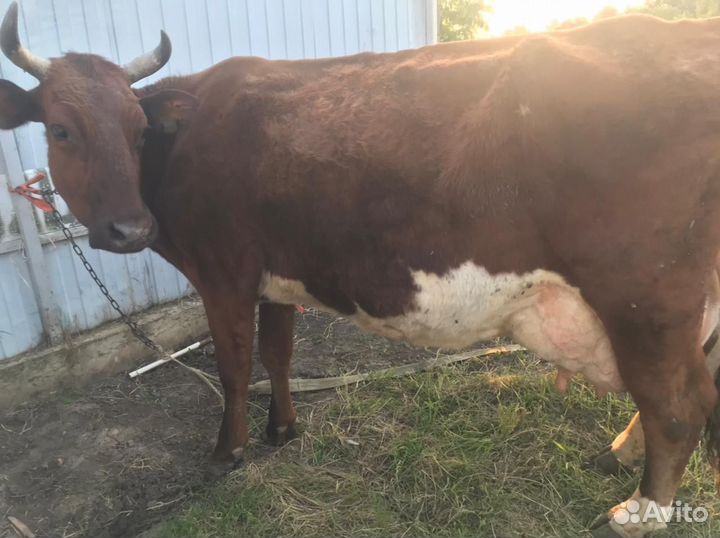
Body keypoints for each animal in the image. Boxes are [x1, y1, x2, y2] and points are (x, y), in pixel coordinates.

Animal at [1, 2, 720, 535]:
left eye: (137, 129)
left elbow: (234, 366)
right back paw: (620, 451)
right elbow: (279, 353)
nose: (131, 229)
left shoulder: (223, 272)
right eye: (61, 129)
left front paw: (228, 451)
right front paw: (283, 429)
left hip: (646, 300)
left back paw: (636, 512)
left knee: (679, 405)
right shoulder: (275, 275)